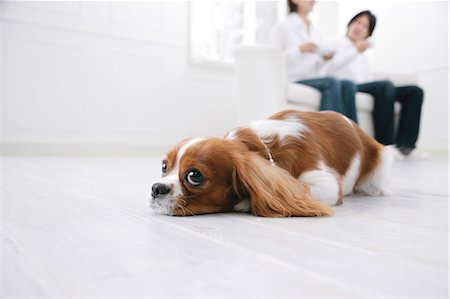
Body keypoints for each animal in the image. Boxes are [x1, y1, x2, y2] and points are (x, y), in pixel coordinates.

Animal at [149, 110, 392, 218]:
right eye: (164, 167)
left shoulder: (327, 184)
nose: (156, 188)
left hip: (382, 161)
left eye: (194, 176)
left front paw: (244, 201)